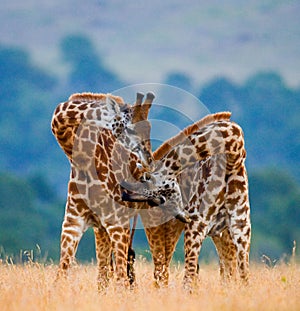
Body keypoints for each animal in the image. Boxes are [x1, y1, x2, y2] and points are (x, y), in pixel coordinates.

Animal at [51, 91, 188, 290]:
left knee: (160, 266)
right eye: (130, 129)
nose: (148, 162)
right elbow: (62, 276)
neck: (81, 158)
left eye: (149, 127)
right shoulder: (73, 223)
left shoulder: (117, 224)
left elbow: (121, 279)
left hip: (158, 220)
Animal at [121, 113, 251, 292]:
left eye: (159, 199)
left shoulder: (240, 226)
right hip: (163, 230)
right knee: (162, 270)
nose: (184, 216)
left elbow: (243, 277)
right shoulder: (200, 225)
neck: (233, 156)